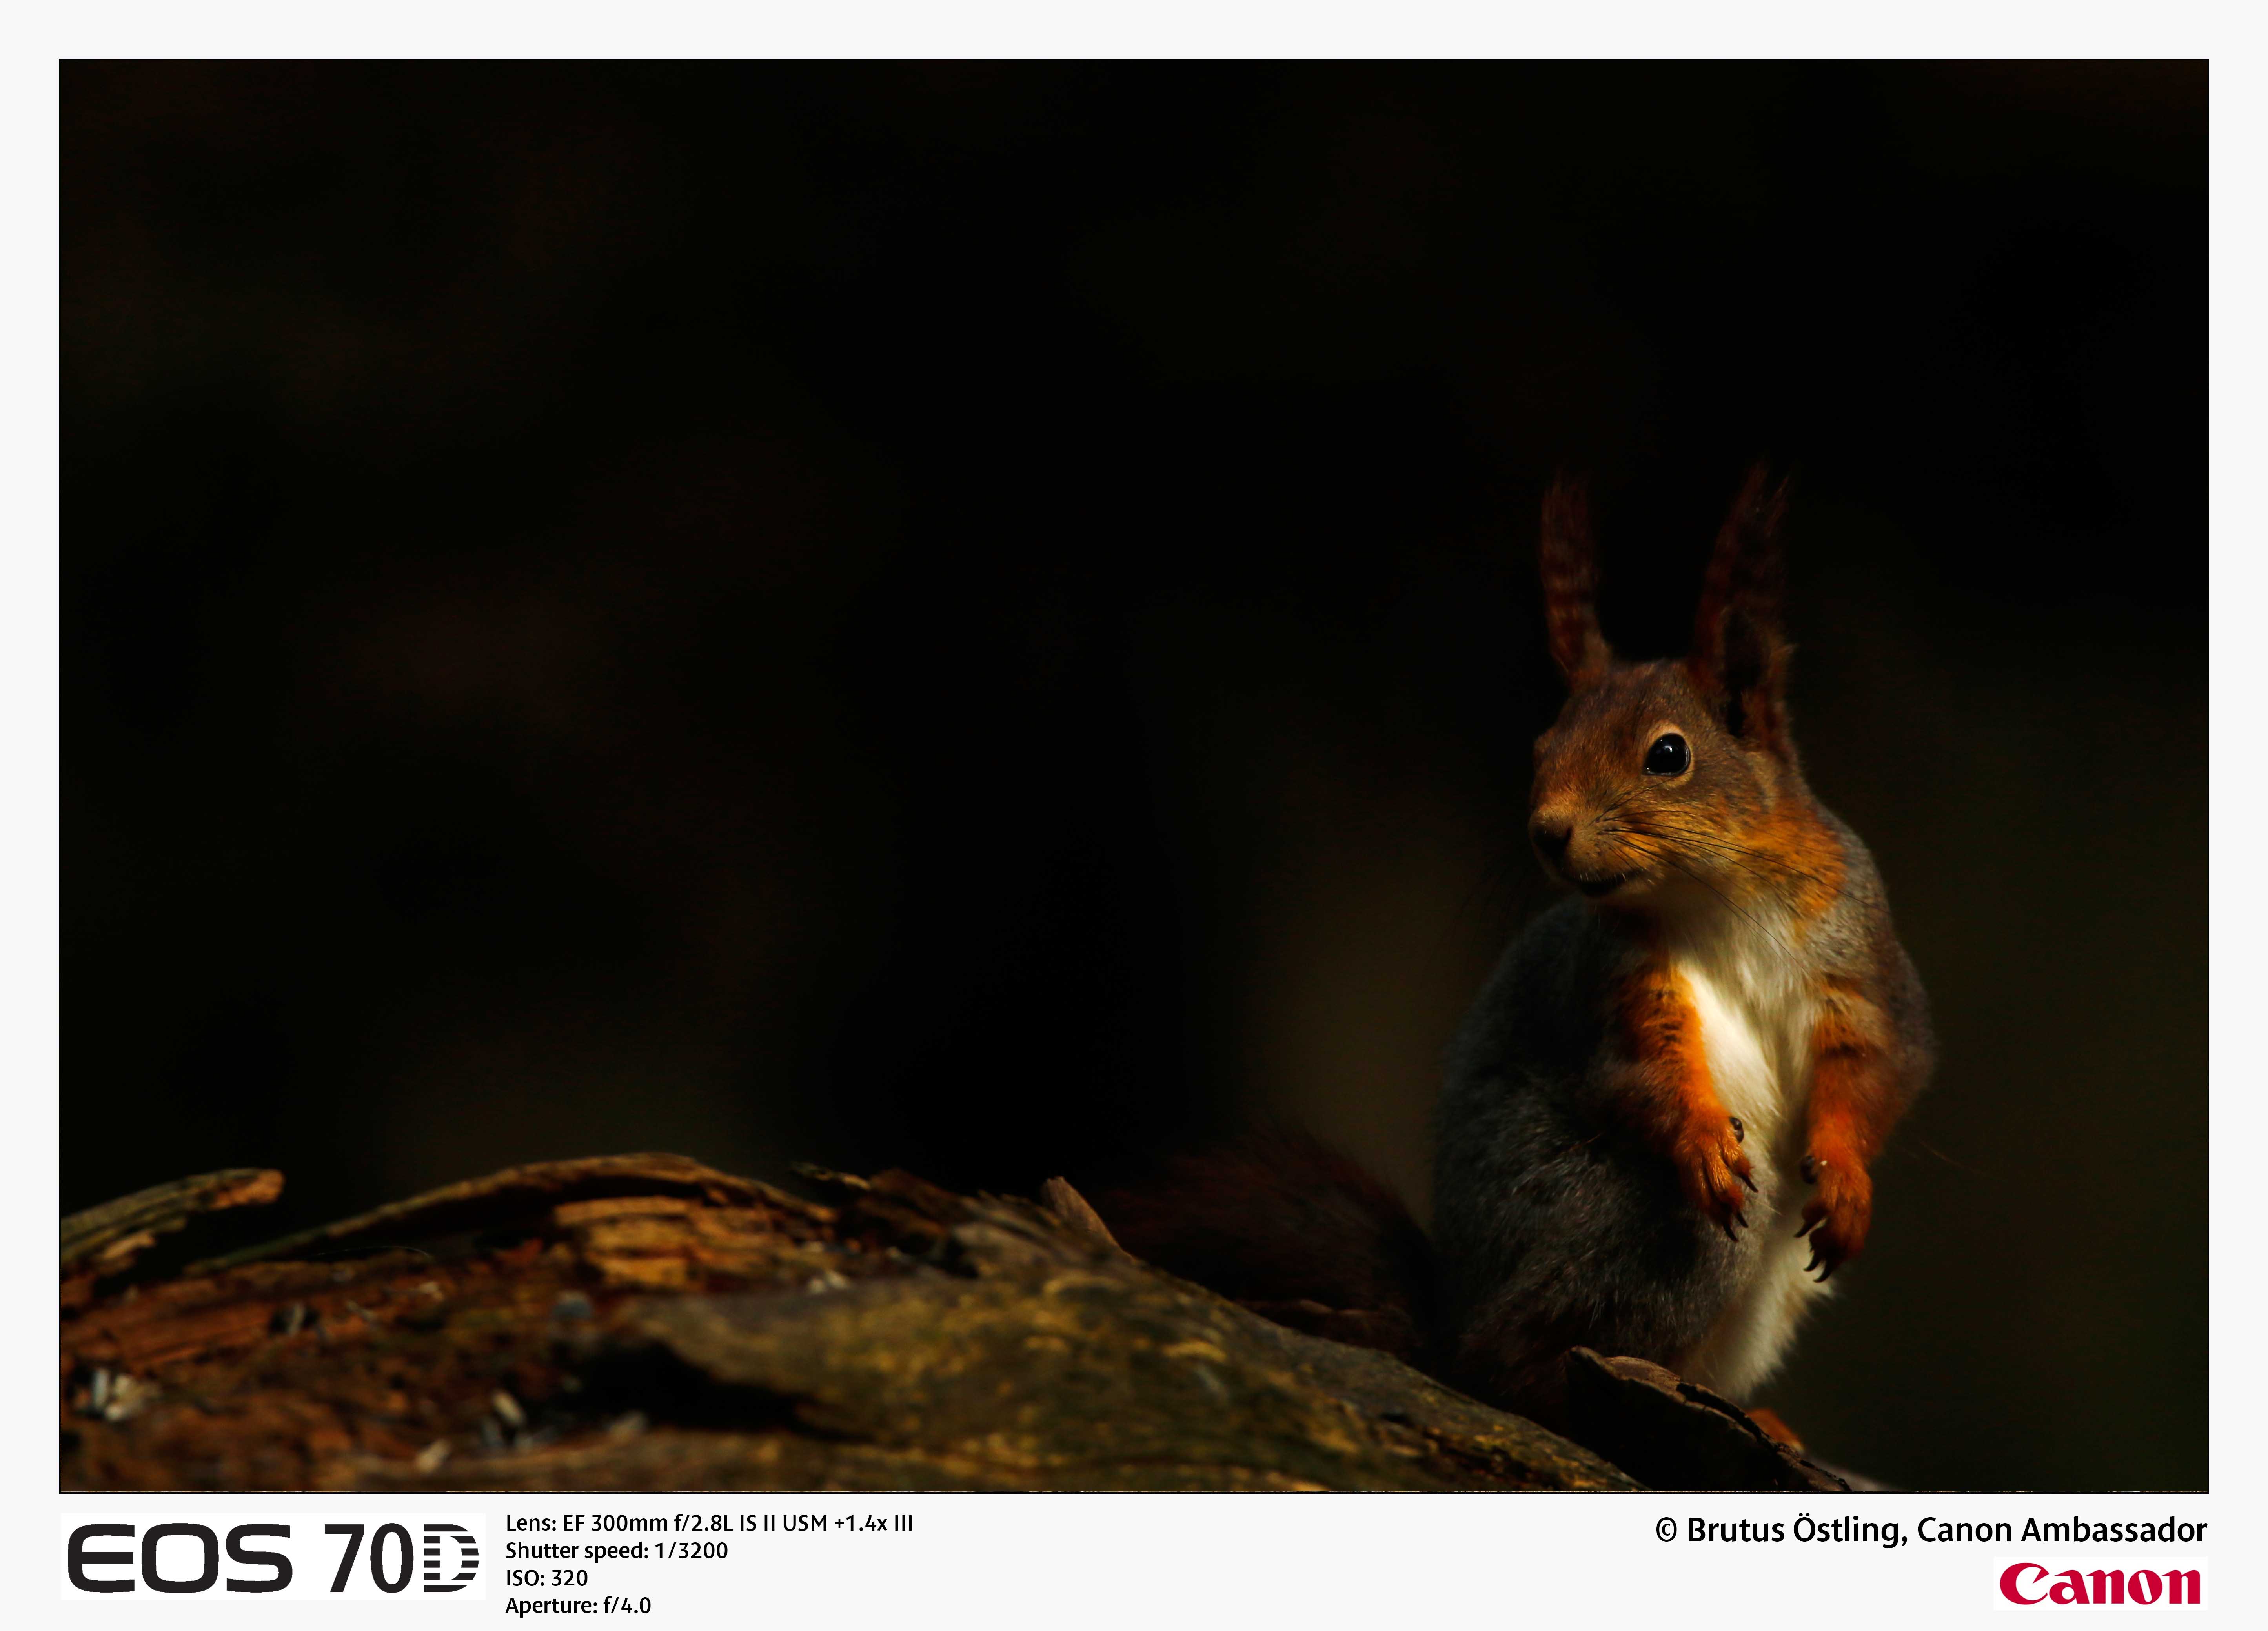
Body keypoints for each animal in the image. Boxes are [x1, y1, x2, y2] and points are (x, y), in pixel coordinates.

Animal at [1093, 468, 1934, 1434]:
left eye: (1669, 754)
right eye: (1543, 746)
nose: (1548, 832)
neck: (1713, 896)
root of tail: (1455, 1312)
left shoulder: (1857, 960)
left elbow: (1876, 1070)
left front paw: (1846, 1180)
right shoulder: (1613, 984)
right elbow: (1636, 1074)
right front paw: (1698, 1140)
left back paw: (1748, 1416)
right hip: (1617, 1232)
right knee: (1504, 1364)